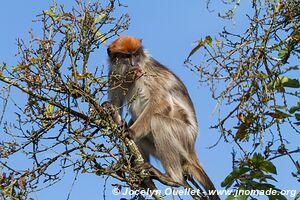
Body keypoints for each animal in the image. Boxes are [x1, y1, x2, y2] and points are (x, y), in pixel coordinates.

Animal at [106, 35, 219, 199]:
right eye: (126, 57)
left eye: (136, 55)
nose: (133, 63)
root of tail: (192, 148)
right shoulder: (114, 75)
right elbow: (115, 104)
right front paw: (111, 111)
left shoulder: (148, 73)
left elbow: (162, 103)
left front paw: (131, 132)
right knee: (134, 121)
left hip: (185, 135)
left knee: (158, 121)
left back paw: (172, 179)